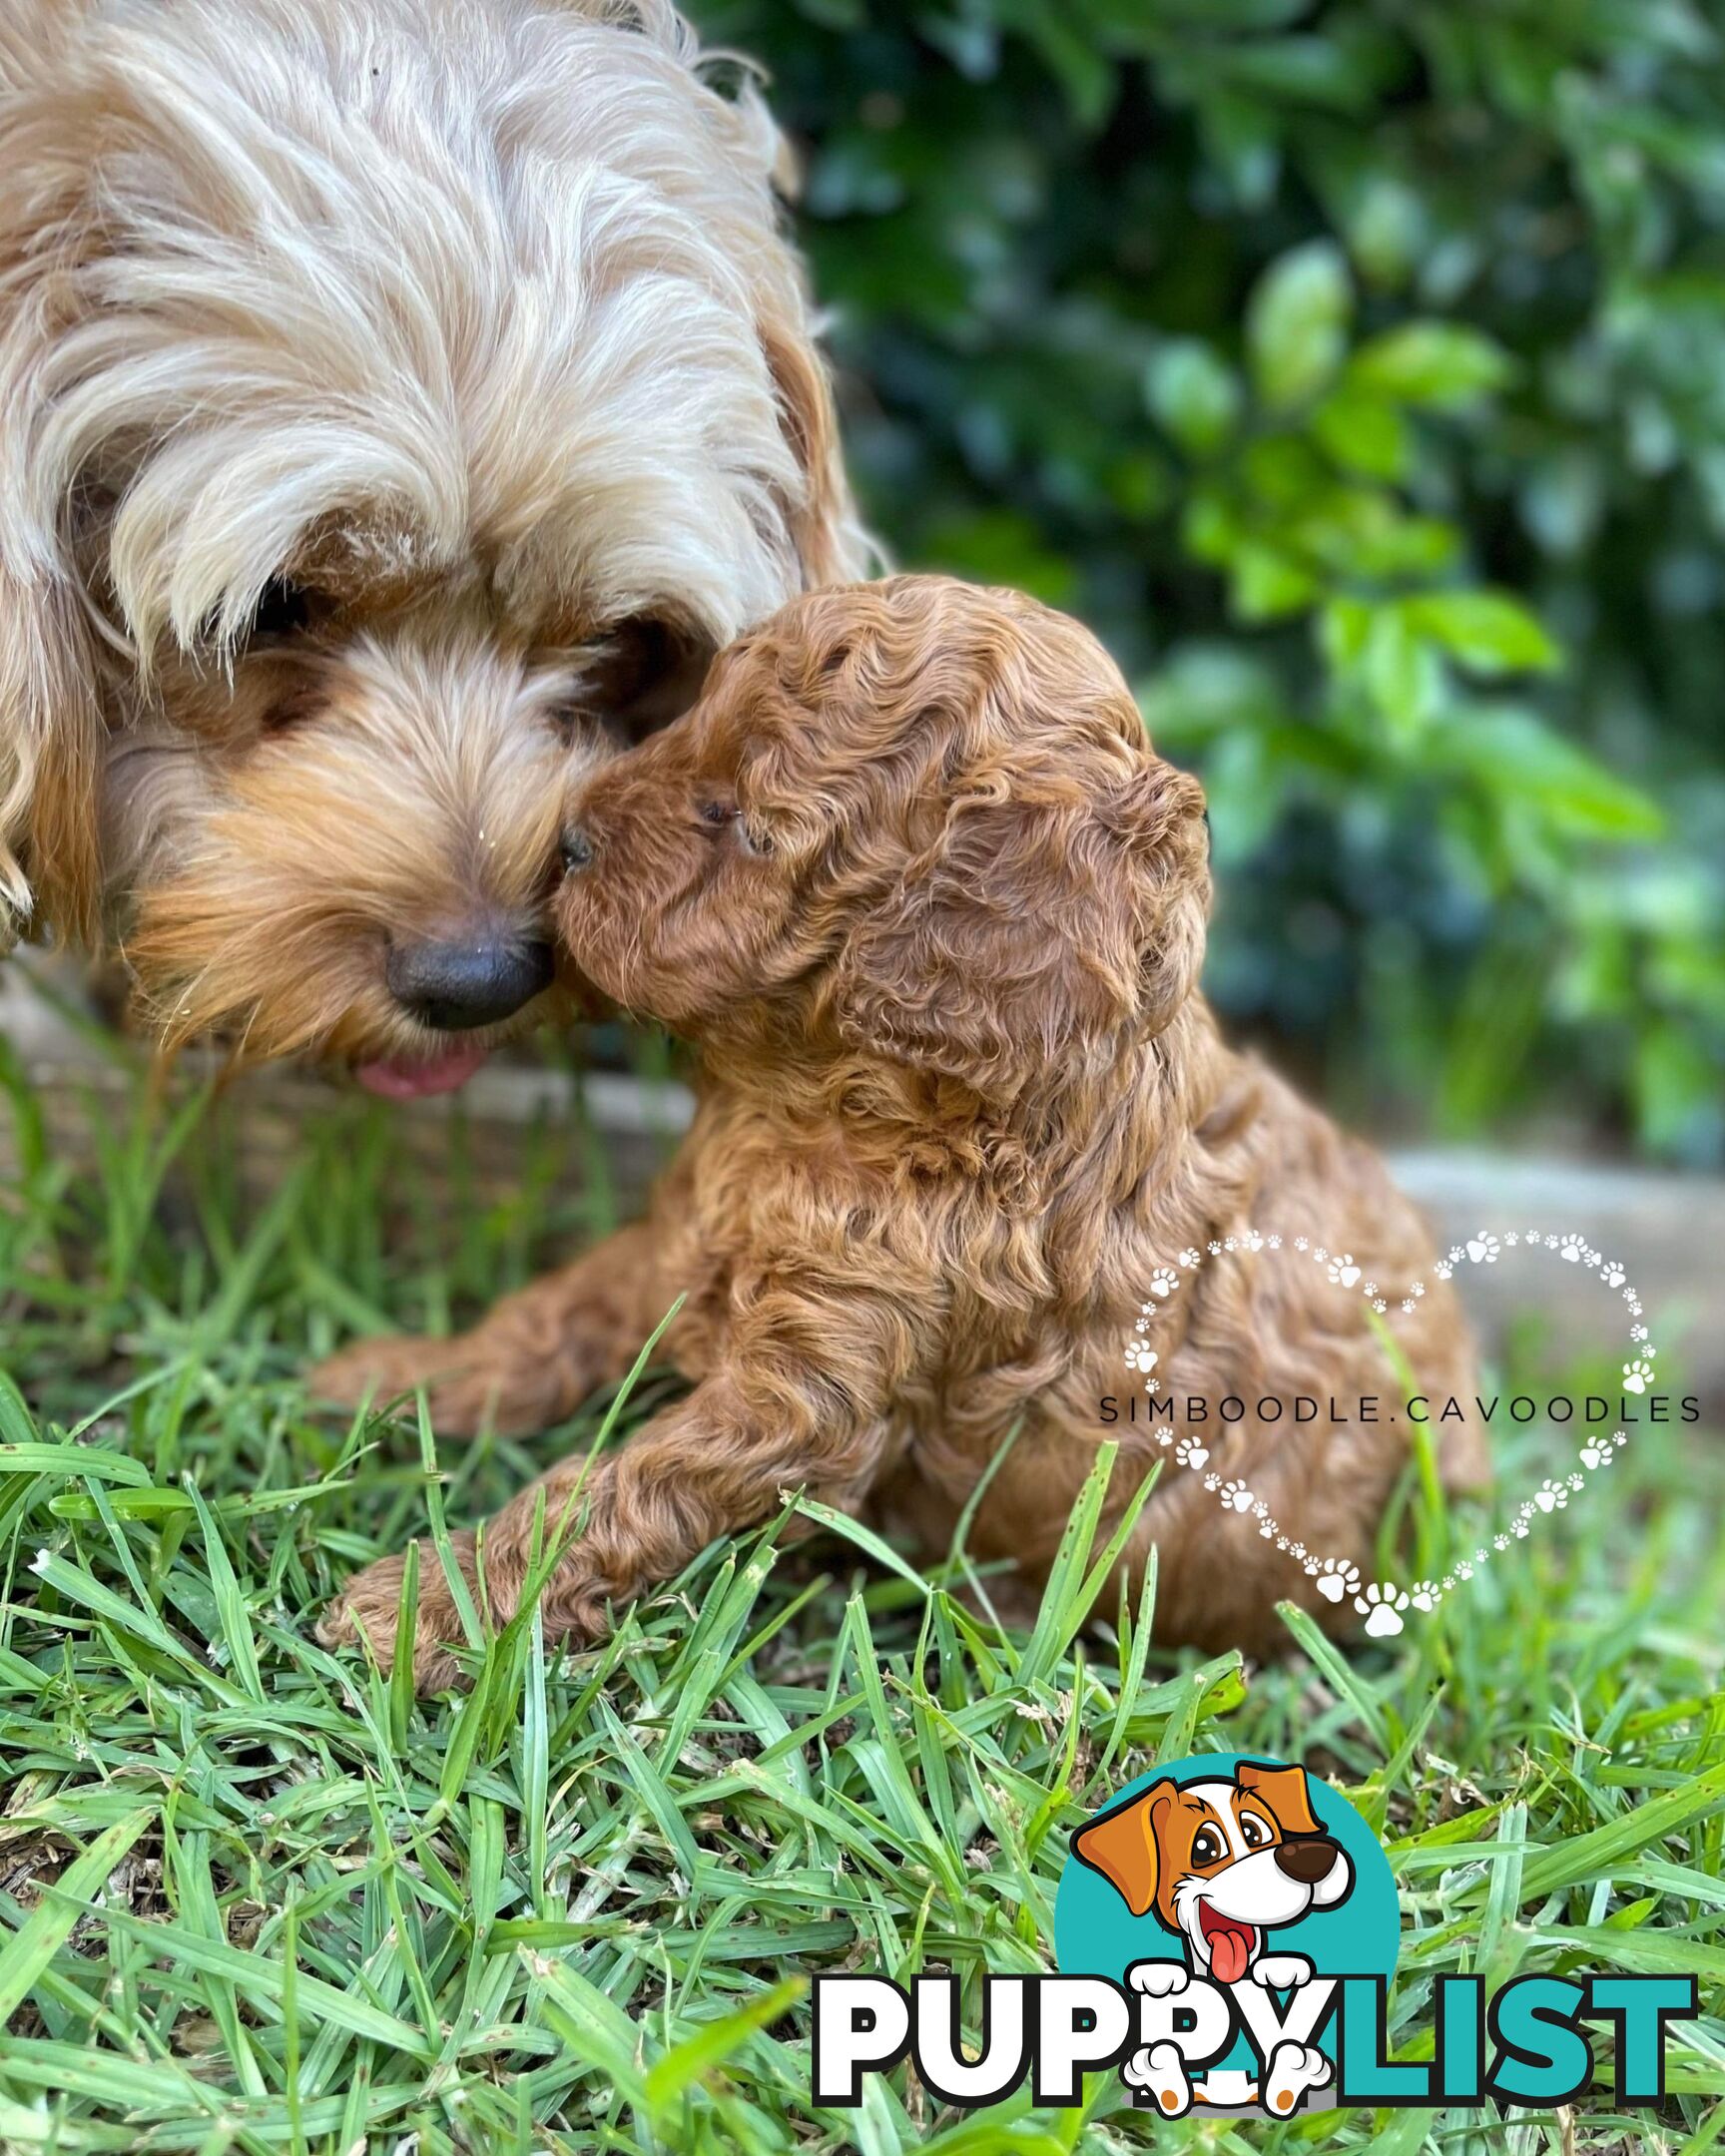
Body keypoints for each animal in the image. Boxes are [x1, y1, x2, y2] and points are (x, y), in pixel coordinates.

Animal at [318, 582, 1483, 1690]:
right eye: (689, 724)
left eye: (745, 821)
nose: (565, 846)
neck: (833, 1093)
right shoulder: (677, 1240)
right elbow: (550, 1315)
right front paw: (398, 1377)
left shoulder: (815, 1392)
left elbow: (617, 1492)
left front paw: (432, 1607)